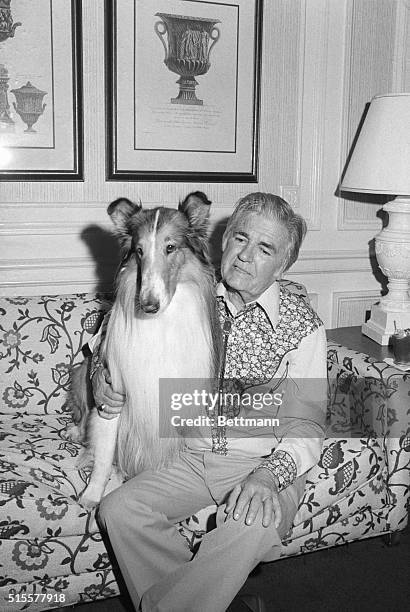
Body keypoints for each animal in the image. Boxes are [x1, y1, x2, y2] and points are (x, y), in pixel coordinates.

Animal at [68, 191, 221, 506]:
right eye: (139, 251)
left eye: (170, 247)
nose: (148, 305)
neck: (160, 323)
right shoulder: (113, 396)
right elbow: (104, 457)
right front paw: (92, 495)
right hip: (81, 372)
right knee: (81, 415)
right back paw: (77, 437)